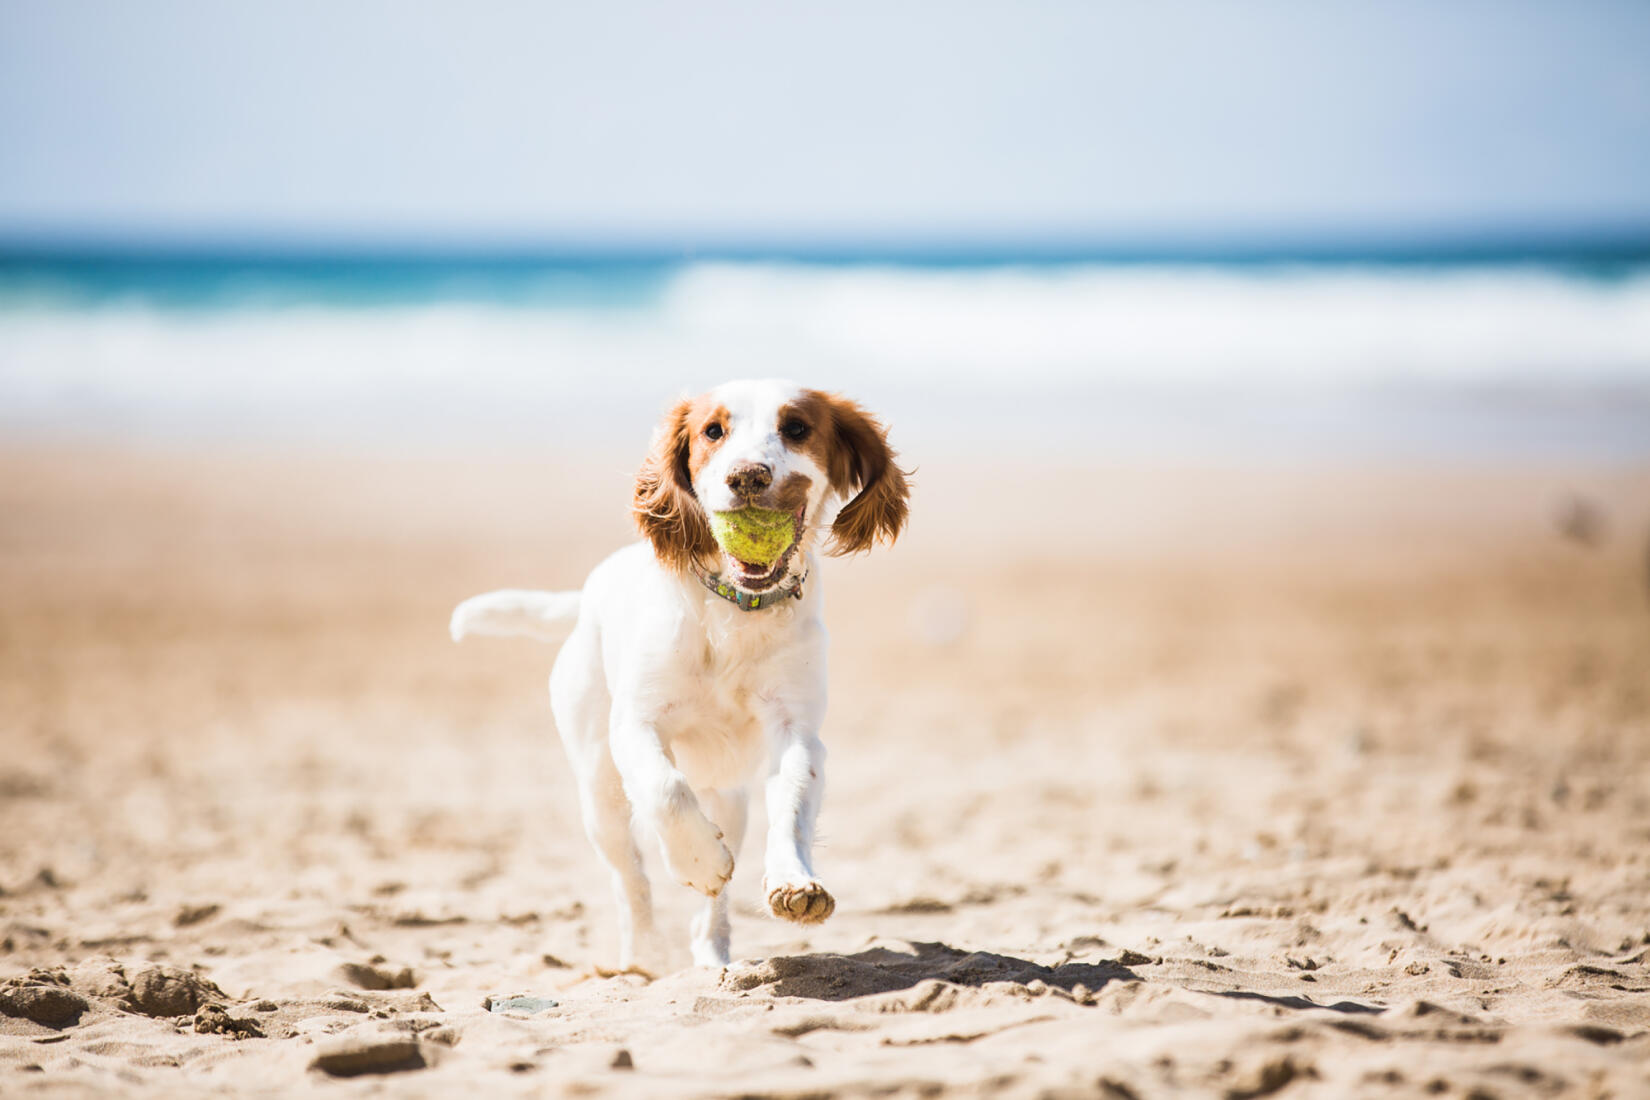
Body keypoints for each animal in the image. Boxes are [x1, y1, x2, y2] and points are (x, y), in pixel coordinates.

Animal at [452, 382, 910, 969]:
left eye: (797, 428)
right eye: (712, 431)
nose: (748, 476)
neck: (735, 611)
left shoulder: (797, 731)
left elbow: (791, 802)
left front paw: (793, 881)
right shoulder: (636, 725)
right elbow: (666, 789)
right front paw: (698, 861)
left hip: (727, 796)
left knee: (713, 895)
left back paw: (713, 951)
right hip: (599, 791)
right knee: (630, 879)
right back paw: (643, 956)